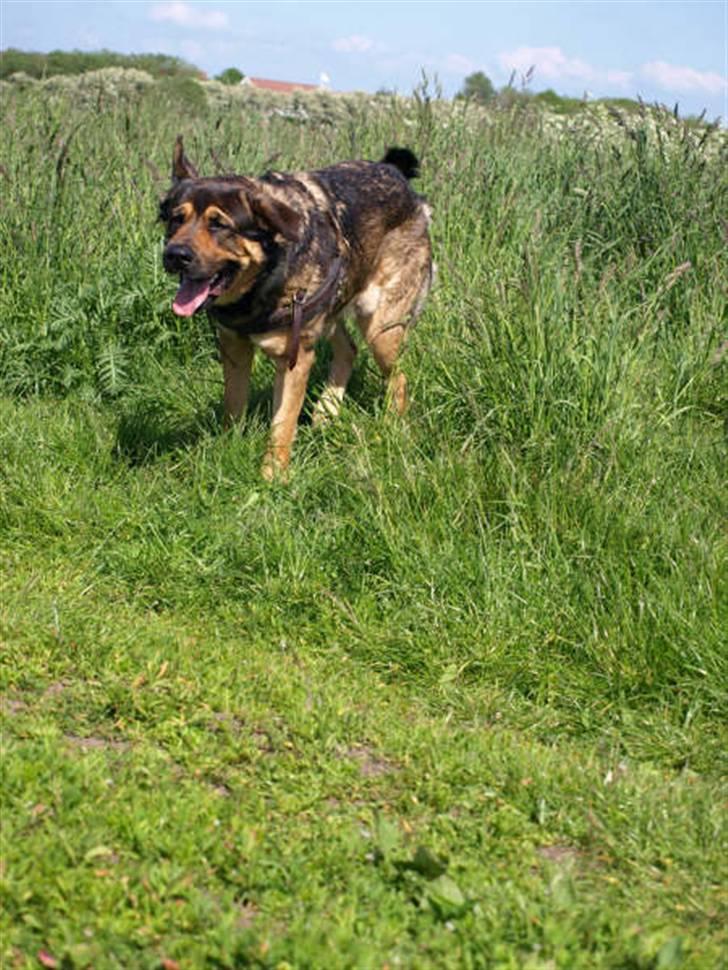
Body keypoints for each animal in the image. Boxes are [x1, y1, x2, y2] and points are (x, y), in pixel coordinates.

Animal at [159, 138, 432, 478]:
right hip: (331, 309)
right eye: (176, 219)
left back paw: (392, 424)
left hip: (379, 328)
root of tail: (394, 172)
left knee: (398, 378)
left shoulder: (295, 358)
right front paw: (227, 450)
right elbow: (233, 406)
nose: (174, 255)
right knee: (349, 349)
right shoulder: (234, 348)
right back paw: (326, 412)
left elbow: (282, 425)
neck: (267, 272)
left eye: (219, 224)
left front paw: (272, 478)